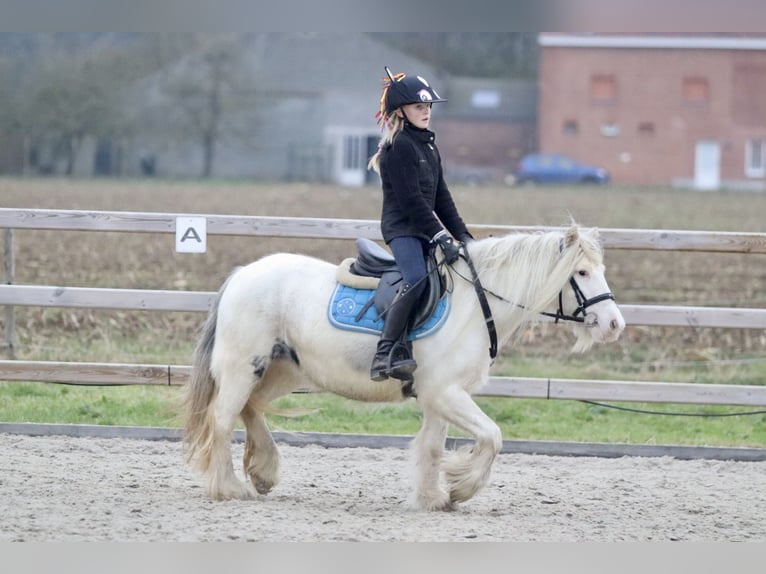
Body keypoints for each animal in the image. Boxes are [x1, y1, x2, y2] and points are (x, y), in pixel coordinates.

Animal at [183, 225, 628, 512]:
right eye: (582, 272)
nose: (614, 324)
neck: (473, 305)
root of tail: (242, 275)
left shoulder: (438, 397)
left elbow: (432, 446)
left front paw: (434, 498)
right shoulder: (446, 393)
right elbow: (493, 436)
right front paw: (462, 487)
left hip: (281, 371)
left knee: (250, 408)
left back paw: (263, 473)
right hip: (244, 367)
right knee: (222, 419)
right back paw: (229, 488)